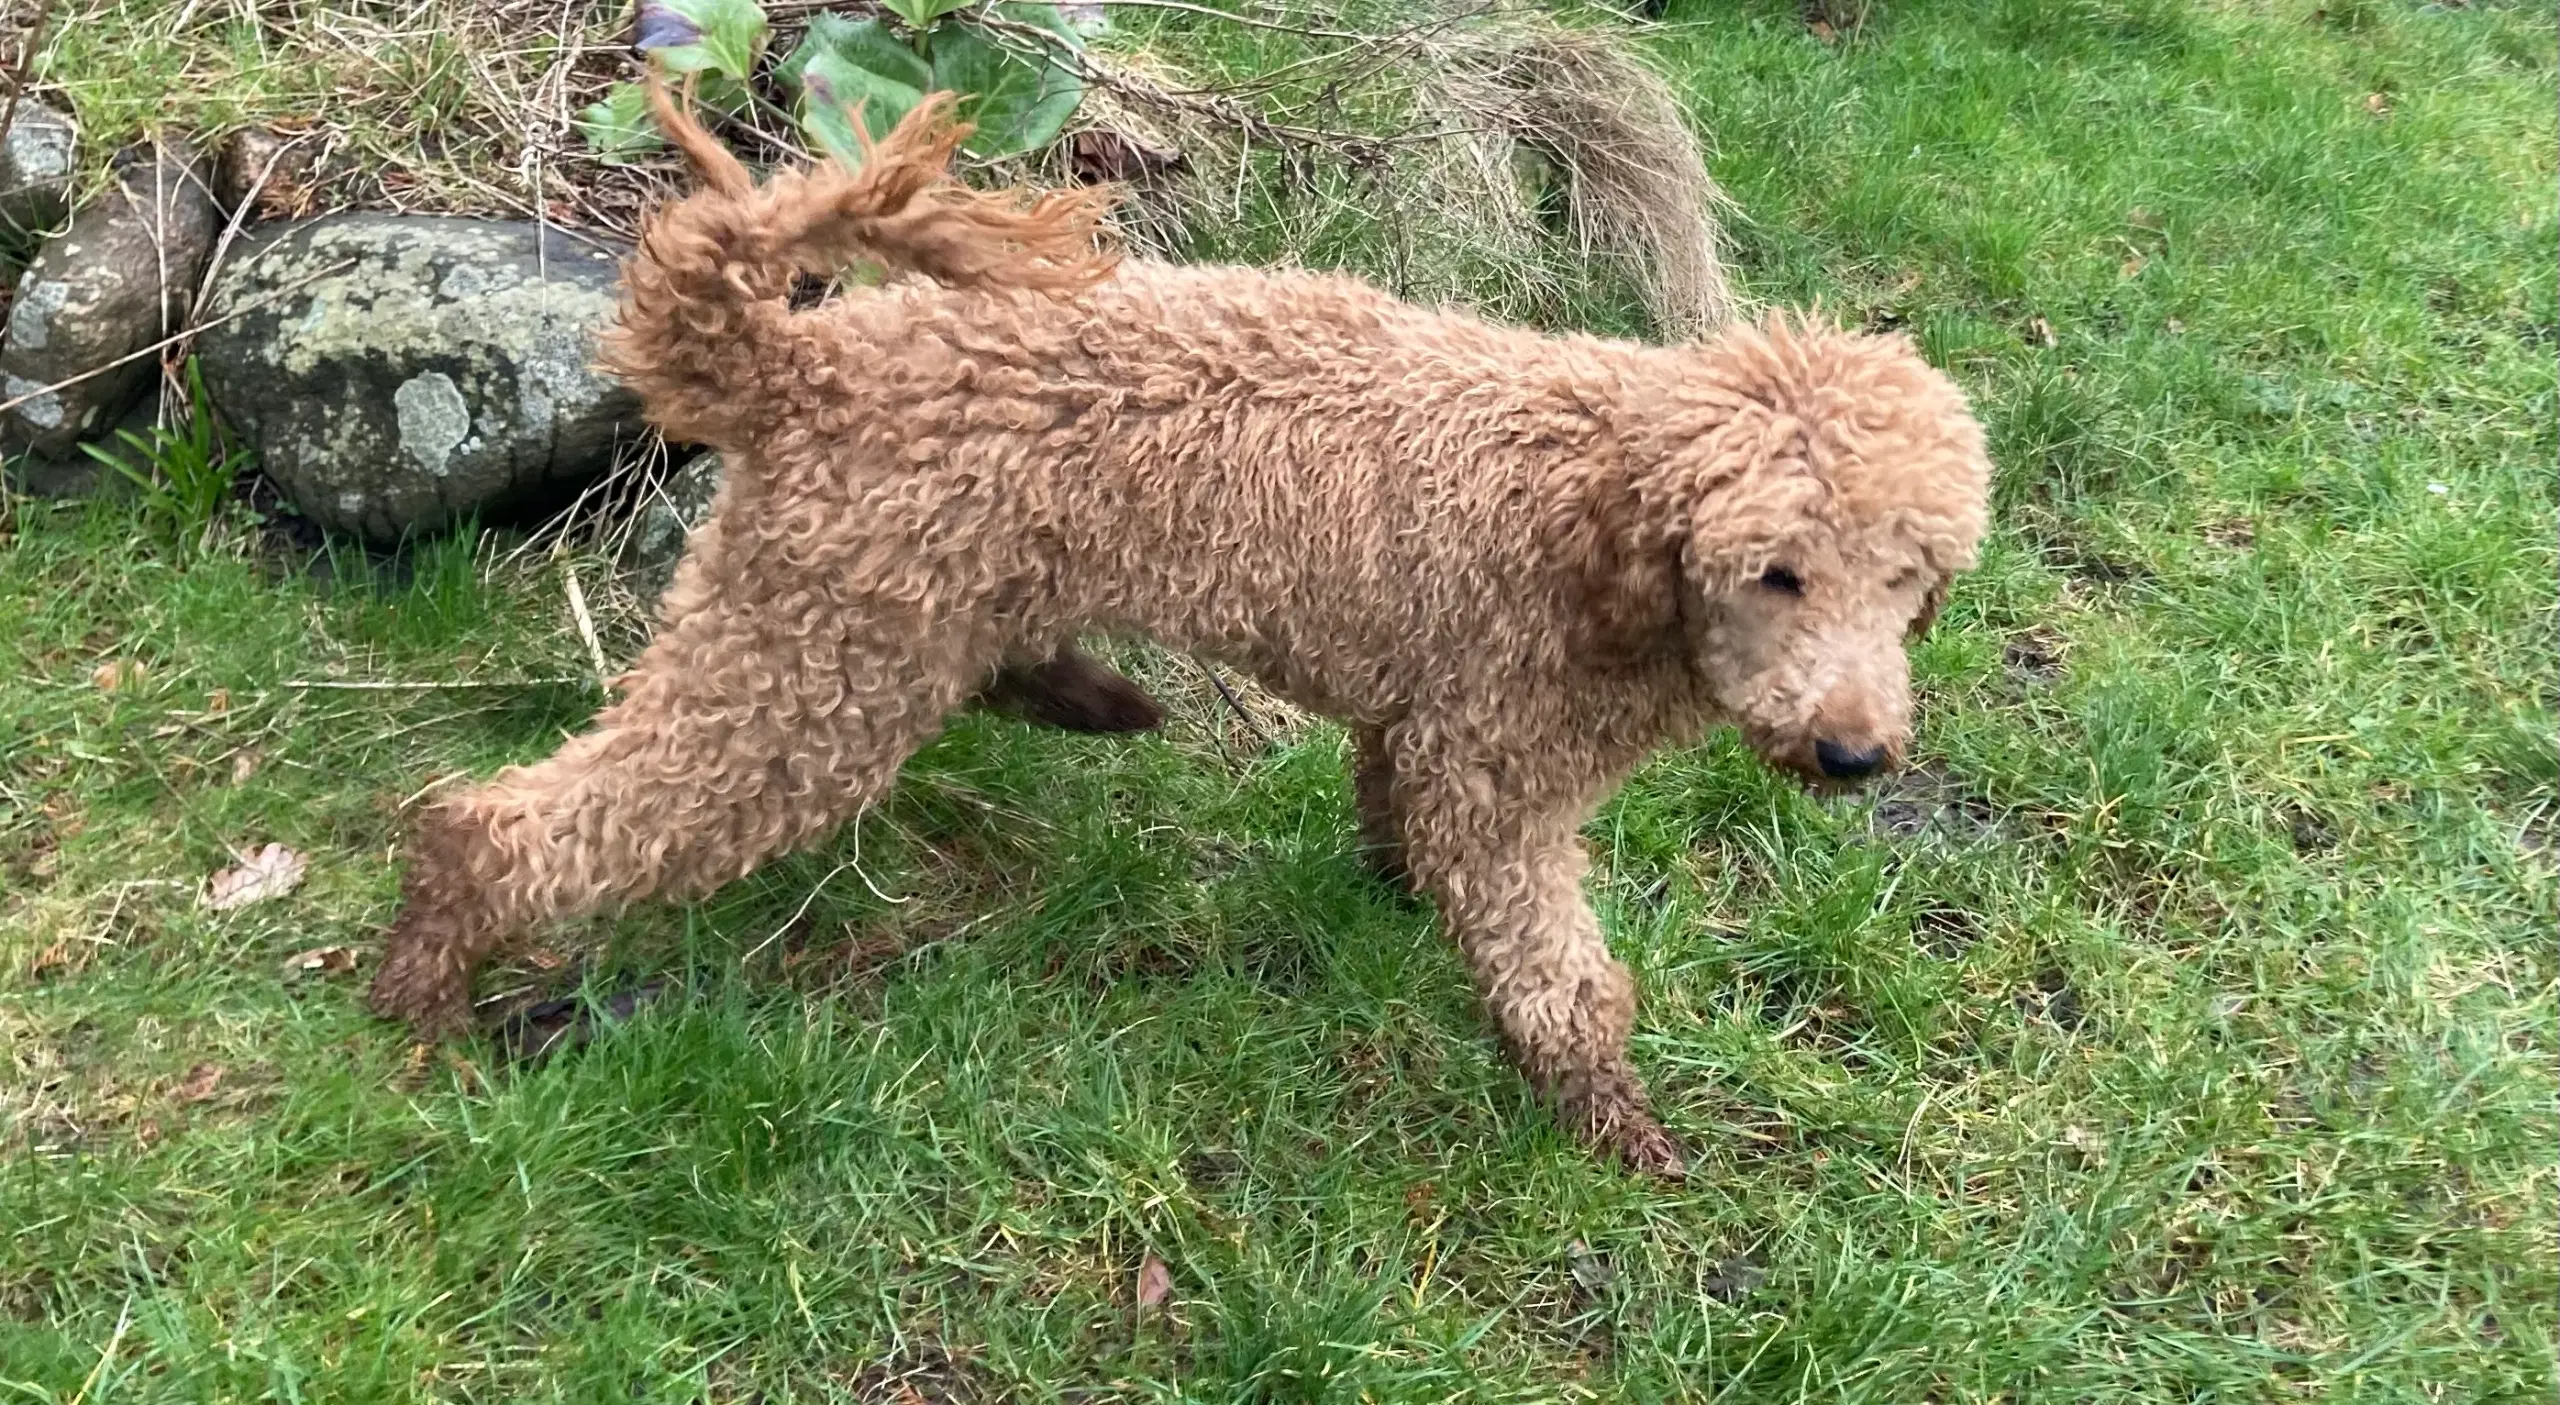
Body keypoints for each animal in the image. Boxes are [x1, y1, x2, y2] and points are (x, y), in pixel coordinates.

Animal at [371, 85, 1986, 1172]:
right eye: (1778, 571)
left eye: (1913, 580)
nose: (1856, 754)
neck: (1605, 512)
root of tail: (801, 357)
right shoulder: (1498, 769)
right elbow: (1563, 982)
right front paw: (1615, 1125)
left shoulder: (1423, 719)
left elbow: (1394, 809)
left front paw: (1395, 898)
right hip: (810, 668)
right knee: (511, 824)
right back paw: (428, 983)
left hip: (890, 608)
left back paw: (1092, 699)